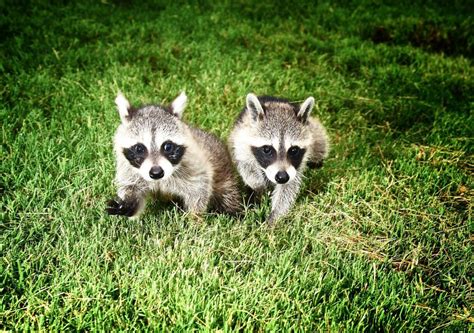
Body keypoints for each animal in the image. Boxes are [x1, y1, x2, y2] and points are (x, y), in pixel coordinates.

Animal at [107, 91, 241, 218]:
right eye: (139, 148)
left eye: (168, 147)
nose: (156, 172)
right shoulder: (128, 168)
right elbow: (131, 187)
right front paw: (128, 204)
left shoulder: (193, 163)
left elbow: (199, 188)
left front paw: (194, 218)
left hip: (224, 172)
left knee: (228, 194)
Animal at [228, 93, 328, 223]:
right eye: (267, 149)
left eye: (294, 150)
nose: (282, 177)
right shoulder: (241, 138)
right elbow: (244, 164)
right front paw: (257, 184)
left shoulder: (296, 165)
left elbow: (288, 187)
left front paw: (275, 215)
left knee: (319, 137)